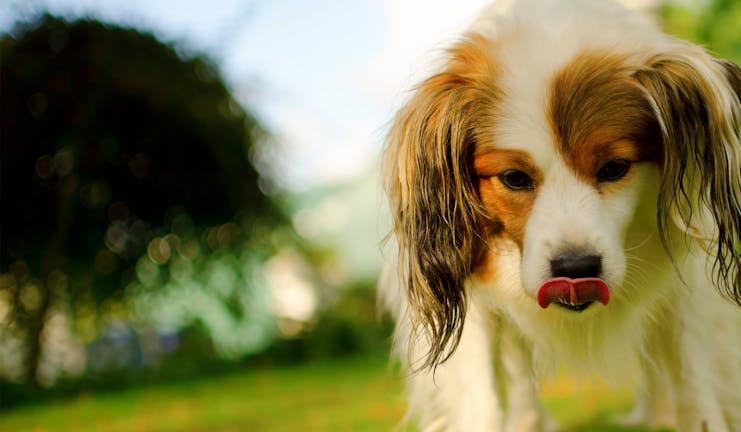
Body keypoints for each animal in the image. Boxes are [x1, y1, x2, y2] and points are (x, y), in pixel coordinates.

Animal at [382, 1, 740, 430]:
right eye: (513, 178)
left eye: (615, 168)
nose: (575, 268)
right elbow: (483, 395)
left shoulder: (686, 282)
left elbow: (692, 372)